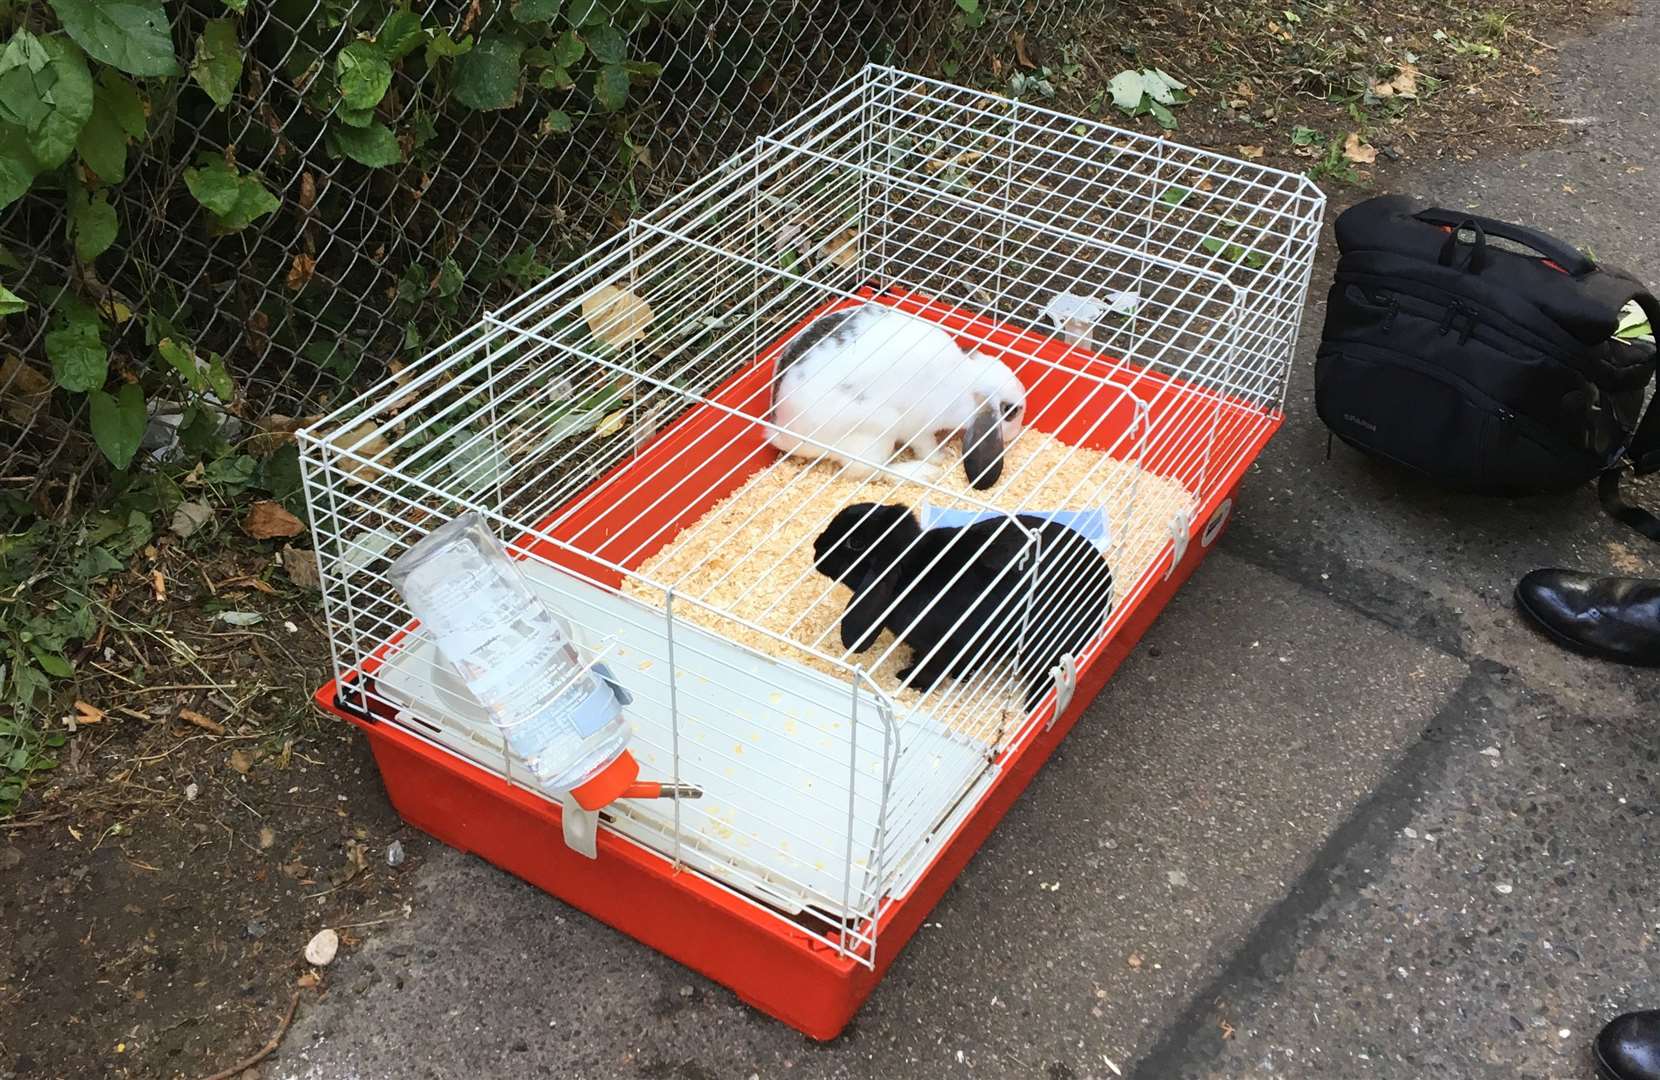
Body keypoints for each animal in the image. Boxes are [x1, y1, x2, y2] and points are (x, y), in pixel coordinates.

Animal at [813, 504, 1115, 713]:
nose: (816, 546)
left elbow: (934, 669)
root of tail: (1106, 599)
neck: (912, 571)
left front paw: (909, 680)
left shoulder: (948, 648)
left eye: (856, 543)